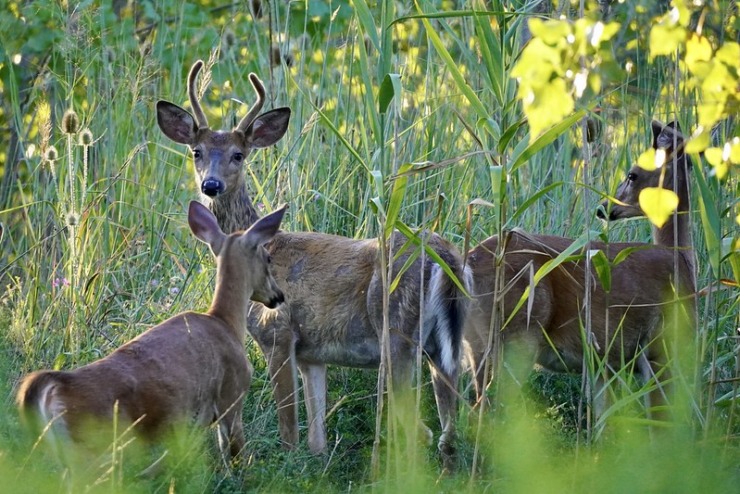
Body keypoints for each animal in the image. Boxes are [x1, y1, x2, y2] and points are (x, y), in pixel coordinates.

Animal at [15, 202, 286, 470]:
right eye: (268, 257)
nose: (279, 296)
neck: (225, 322)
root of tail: (55, 386)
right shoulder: (232, 394)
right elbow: (236, 456)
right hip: (90, 448)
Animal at [157, 59, 472, 468]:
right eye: (196, 151)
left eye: (238, 155)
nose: (211, 185)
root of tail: (446, 257)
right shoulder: (313, 355)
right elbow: (316, 437)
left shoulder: (278, 333)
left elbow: (289, 429)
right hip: (444, 343)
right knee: (448, 426)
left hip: (397, 332)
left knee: (418, 428)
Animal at [466, 119, 696, 420]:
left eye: (632, 175)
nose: (603, 208)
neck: (681, 258)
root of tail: (469, 262)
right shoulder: (663, 347)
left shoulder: (605, 364)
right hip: (517, 337)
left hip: (475, 345)